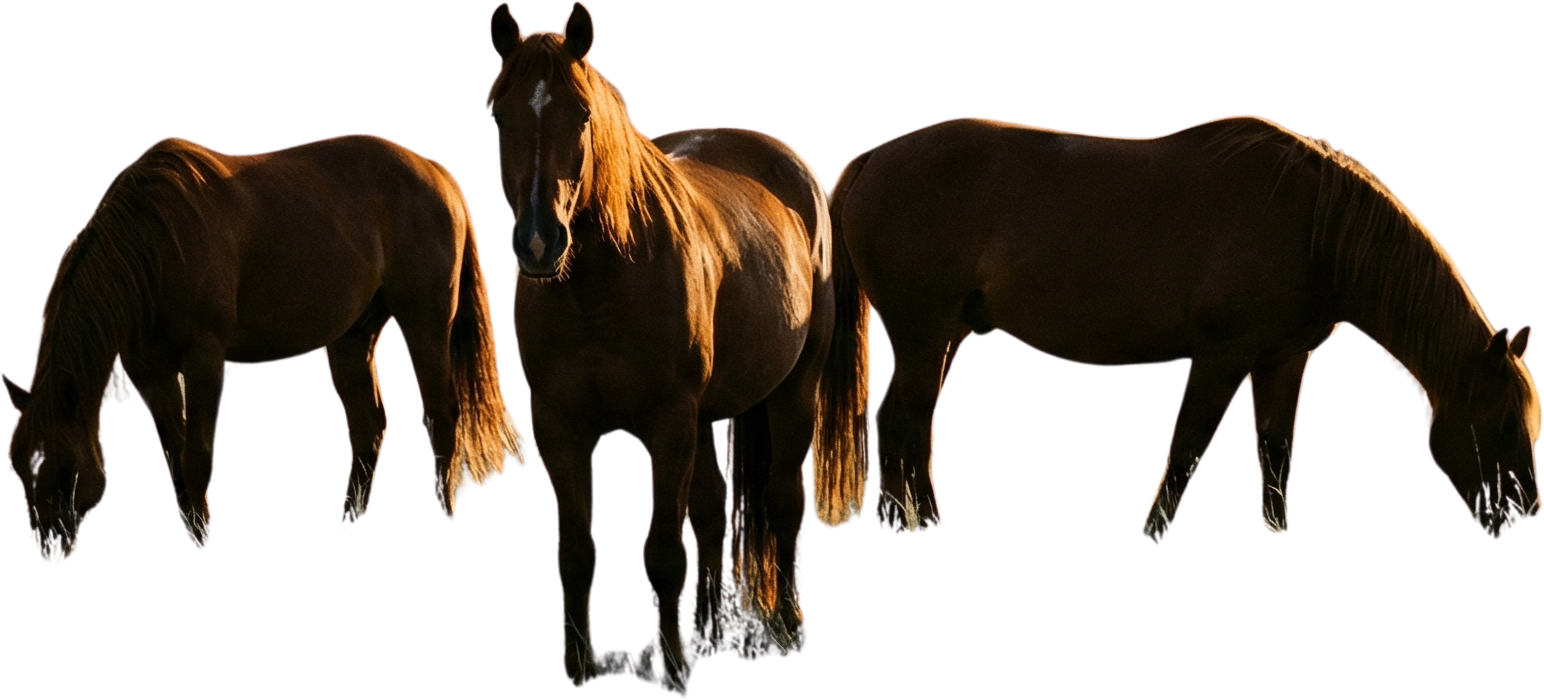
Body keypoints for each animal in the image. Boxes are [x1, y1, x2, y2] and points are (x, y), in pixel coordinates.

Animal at [3, 132, 527, 560]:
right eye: (20, 464)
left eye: (61, 460)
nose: (48, 546)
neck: (155, 242)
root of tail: (437, 175)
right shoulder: (148, 368)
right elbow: (176, 459)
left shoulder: (204, 359)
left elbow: (197, 459)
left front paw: (202, 545)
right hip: (353, 337)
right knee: (367, 426)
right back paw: (351, 523)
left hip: (425, 323)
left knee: (442, 416)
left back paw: (445, 517)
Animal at [487, 2, 869, 695]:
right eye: (501, 115)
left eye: (582, 113)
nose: (537, 242)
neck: (600, 284)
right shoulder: (560, 425)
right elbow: (578, 551)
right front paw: (582, 662)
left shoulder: (668, 423)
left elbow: (665, 550)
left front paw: (666, 666)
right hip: (710, 413)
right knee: (715, 513)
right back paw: (713, 631)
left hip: (792, 393)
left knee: (781, 502)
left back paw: (779, 630)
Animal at [829, 114, 1542, 548]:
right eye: (1506, 419)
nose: (1527, 506)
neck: (1313, 228)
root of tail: (872, 158)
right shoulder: (1222, 356)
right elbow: (1188, 447)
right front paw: (1156, 533)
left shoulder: (1282, 359)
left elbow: (1276, 454)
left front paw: (1276, 537)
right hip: (923, 334)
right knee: (907, 424)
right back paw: (918, 526)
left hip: (944, 334)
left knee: (900, 424)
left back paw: (912, 523)